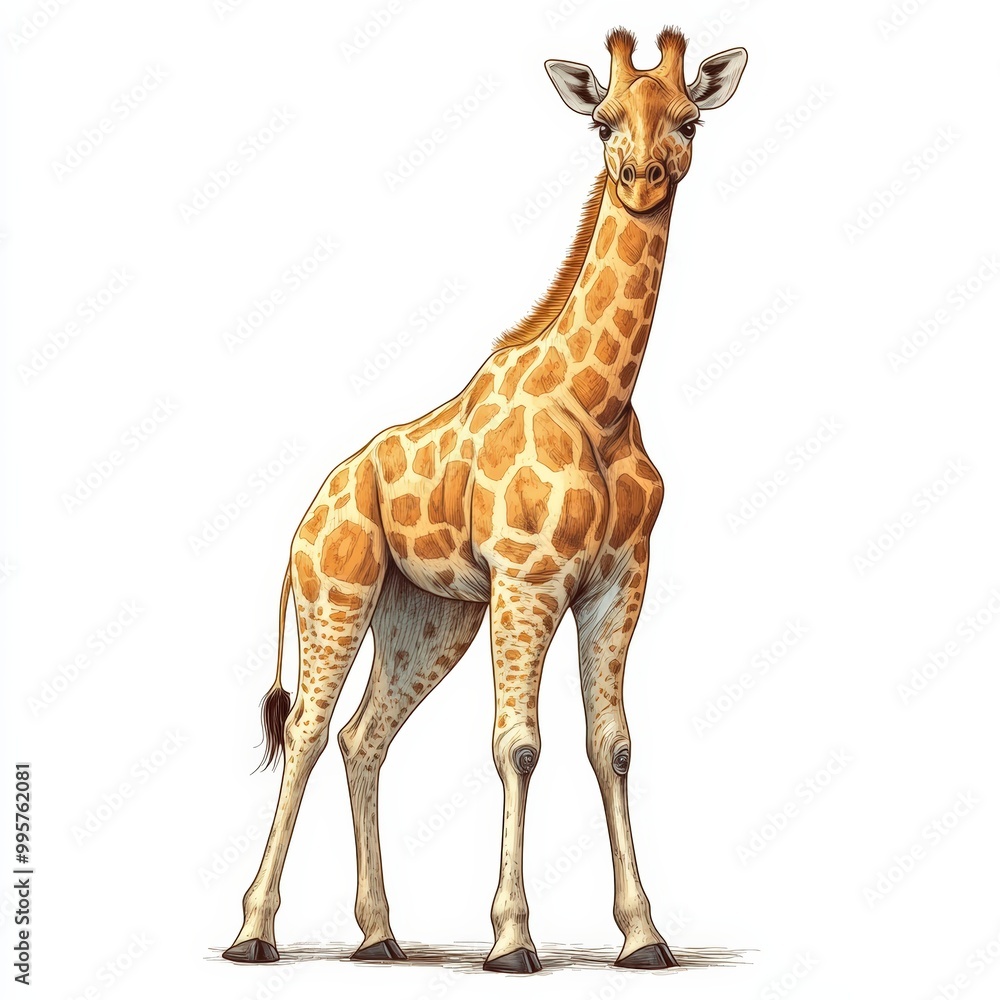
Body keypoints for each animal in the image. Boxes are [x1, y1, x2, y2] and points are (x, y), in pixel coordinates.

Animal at [223, 26, 746, 974]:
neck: (598, 401)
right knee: (310, 732)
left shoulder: (619, 583)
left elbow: (612, 745)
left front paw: (644, 936)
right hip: (337, 595)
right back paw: (252, 932)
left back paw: (379, 936)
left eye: (690, 120)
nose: (642, 177)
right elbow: (520, 745)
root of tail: (307, 514)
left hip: (428, 618)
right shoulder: (529, 579)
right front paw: (511, 938)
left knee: (364, 737)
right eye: (602, 121)